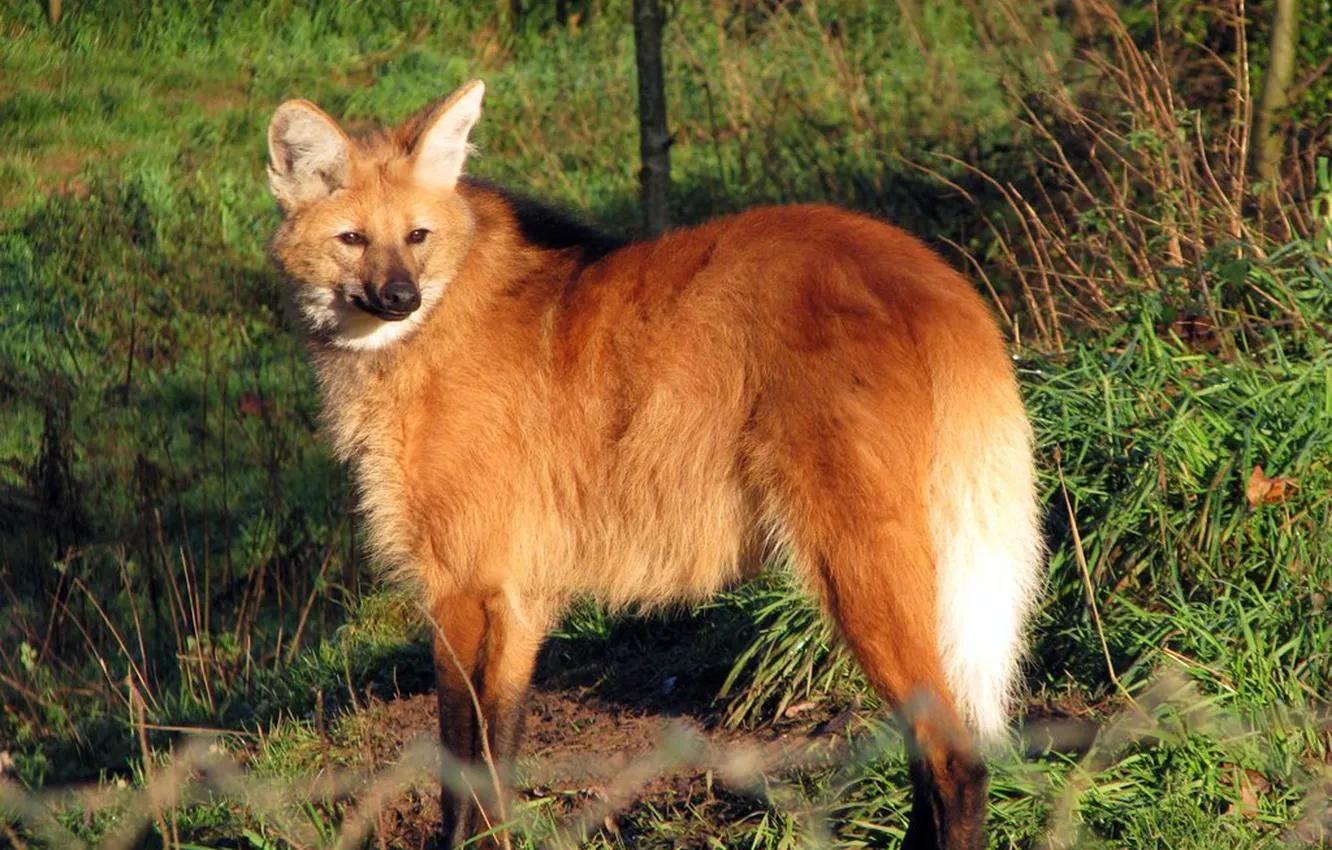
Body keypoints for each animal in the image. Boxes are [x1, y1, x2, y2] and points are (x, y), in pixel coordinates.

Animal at [264, 80, 1043, 850]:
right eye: (352, 239)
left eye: (417, 236)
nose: (401, 298)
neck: (429, 327)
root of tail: (933, 277)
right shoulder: (519, 595)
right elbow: (495, 774)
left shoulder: (460, 586)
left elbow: (461, 774)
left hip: (855, 561)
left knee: (954, 755)